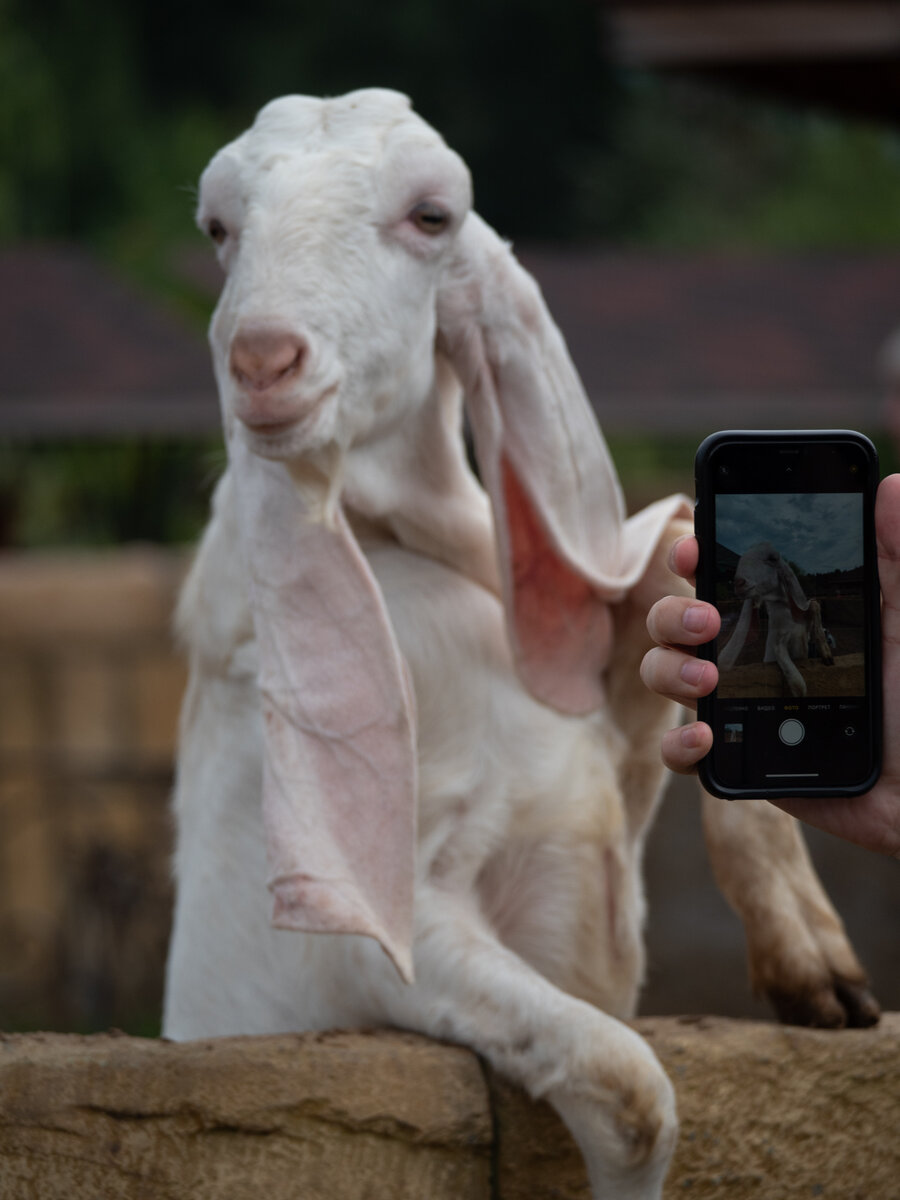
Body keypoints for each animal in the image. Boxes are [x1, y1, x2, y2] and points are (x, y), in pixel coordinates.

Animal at [720, 542, 840, 700]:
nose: (739, 583)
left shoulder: (803, 625)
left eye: (772, 558)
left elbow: (814, 605)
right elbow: (799, 686)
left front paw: (827, 656)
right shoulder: (779, 641)